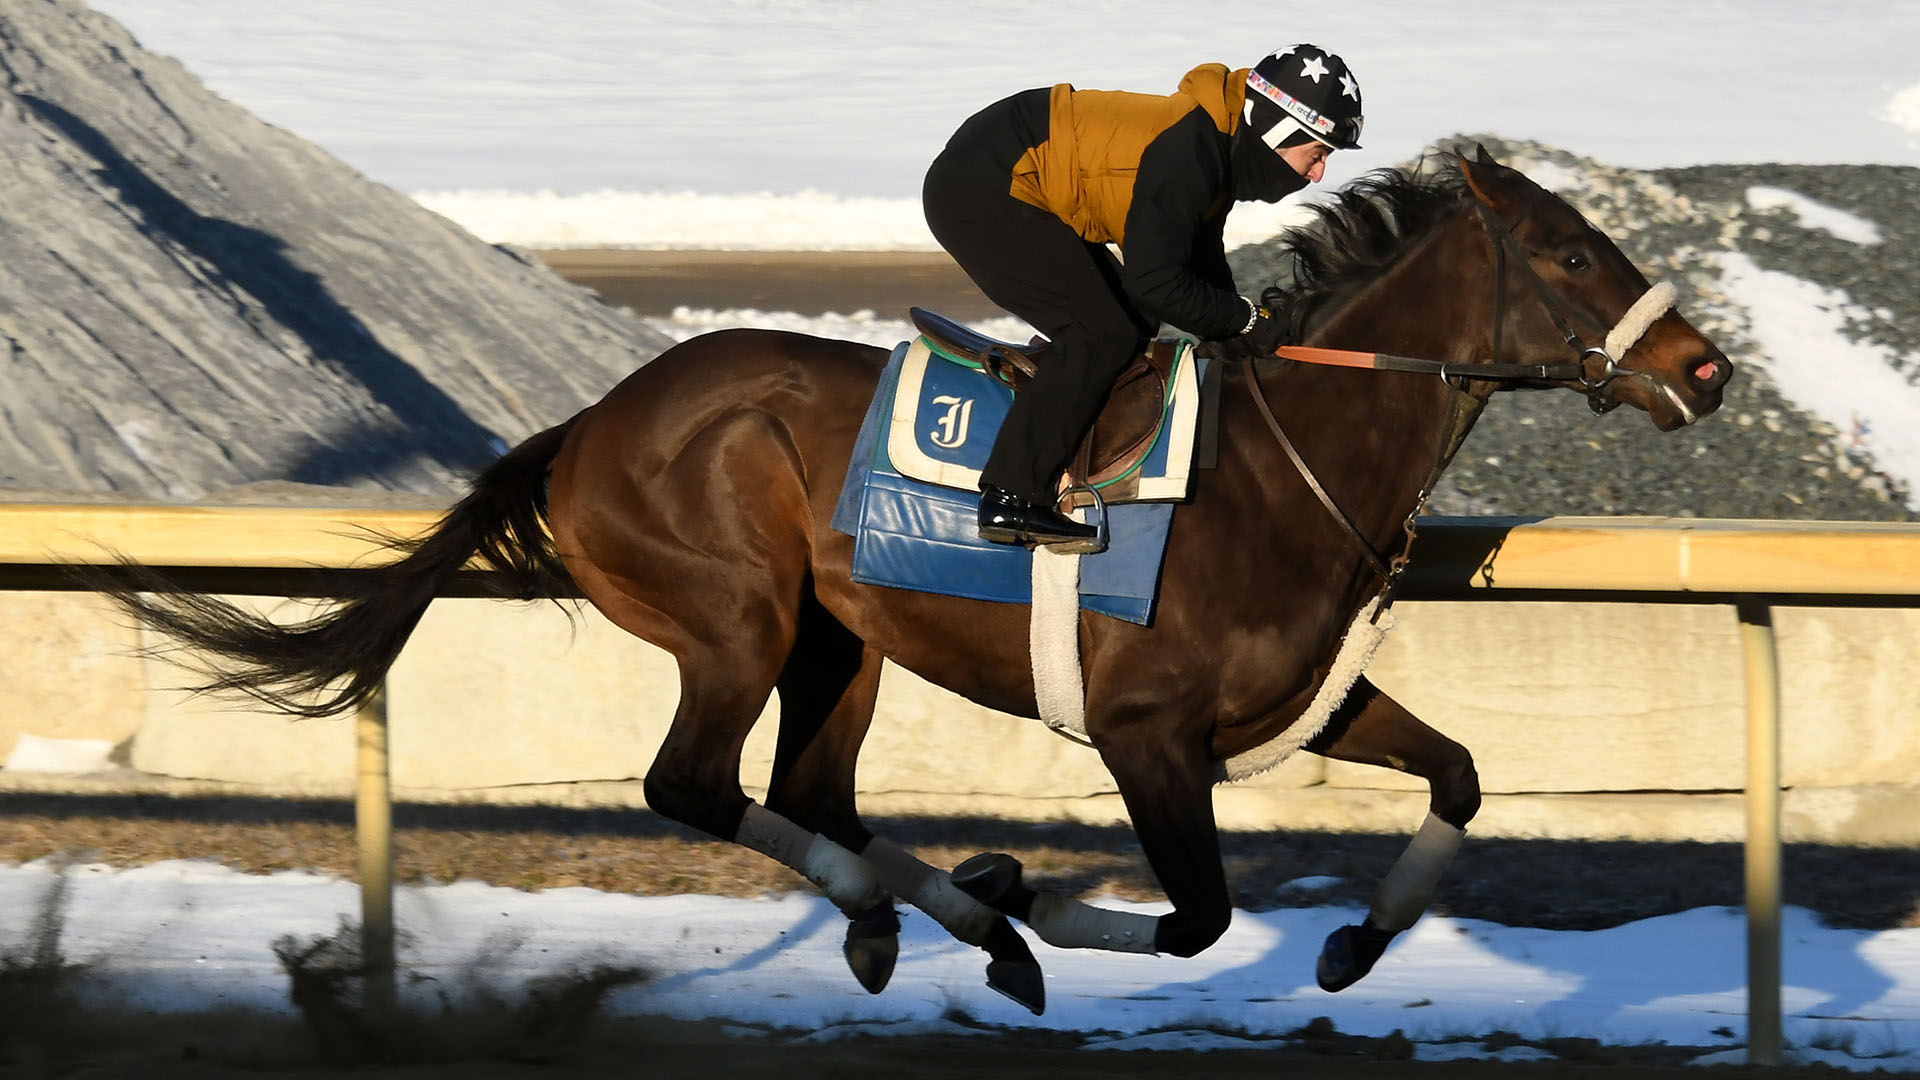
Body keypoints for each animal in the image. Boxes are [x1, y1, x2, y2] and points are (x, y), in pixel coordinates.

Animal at [123, 148, 1743, 1006]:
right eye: (1568, 254)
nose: (1708, 370)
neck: (1284, 463)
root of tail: (590, 421)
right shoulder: (1148, 736)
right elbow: (1200, 915)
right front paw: (1049, 903)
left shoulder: (1301, 705)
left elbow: (1460, 776)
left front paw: (1353, 943)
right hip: (735, 616)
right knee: (696, 788)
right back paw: (974, 921)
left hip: (840, 643)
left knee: (810, 796)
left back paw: (935, 918)